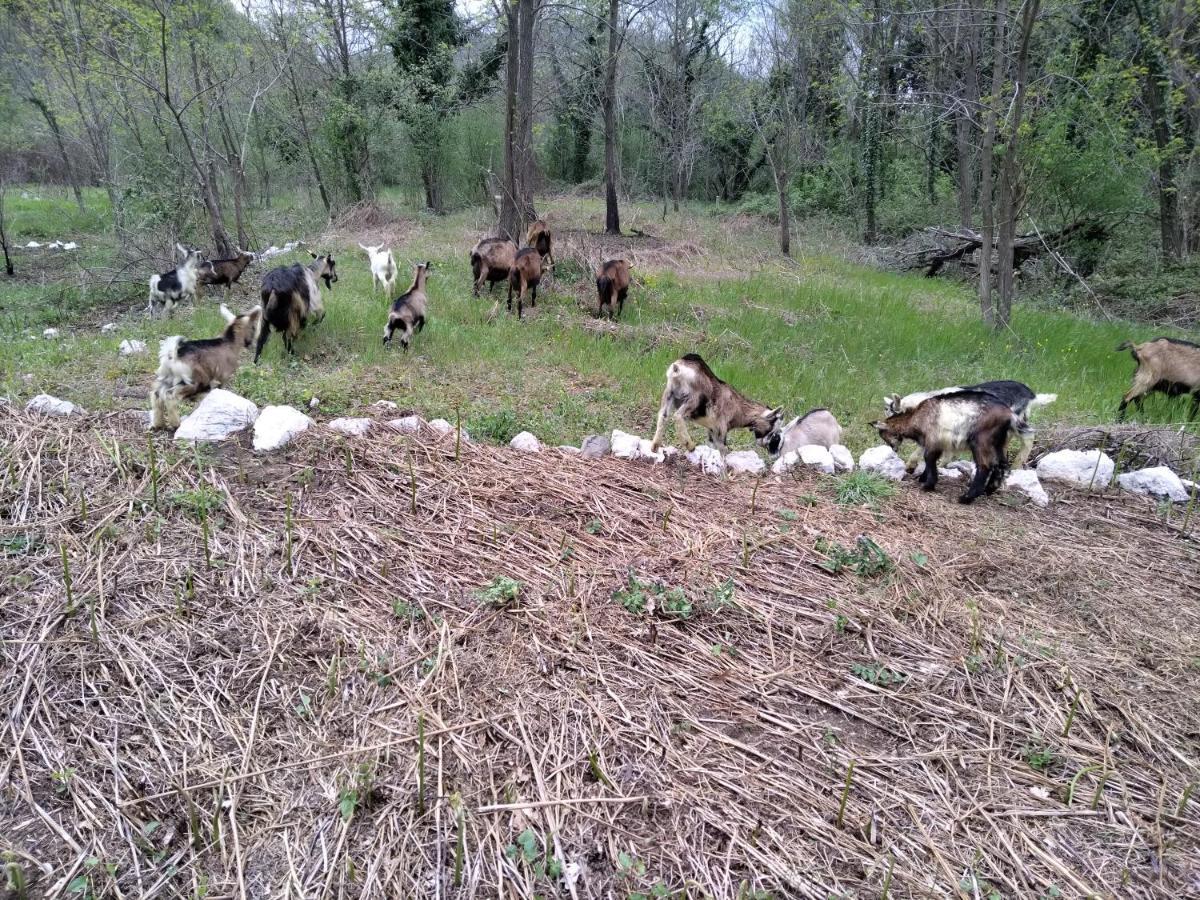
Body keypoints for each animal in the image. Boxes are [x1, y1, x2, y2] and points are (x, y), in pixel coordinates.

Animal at [652, 352, 782, 451]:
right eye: (771, 427)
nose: (766, 445)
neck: (738, 408)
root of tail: (678, 368)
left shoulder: (712, 431)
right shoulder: (721, 429)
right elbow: (723, 450)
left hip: (669, 393)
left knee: (663, 415)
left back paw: (655, 446)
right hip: (694, 398)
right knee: (678, 415)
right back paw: (690, 445)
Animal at [868, 393, 1017, 508]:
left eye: (883, 434)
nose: (893, 449)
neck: (916, 416)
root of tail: (1009, 415)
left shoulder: (933, 438)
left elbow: (928, 457)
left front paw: (928, 485)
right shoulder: (936, 442)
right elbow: (930, 459)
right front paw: (922, 478)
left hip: (981, 440)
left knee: (985, 465)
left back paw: (966, 498)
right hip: (999, 442)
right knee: (1001, 464)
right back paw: (989, 489)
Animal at [888, 381, 1056, 468]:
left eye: (893, 414)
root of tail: (1031, 395)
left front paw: (909, 466)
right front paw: (942, 465)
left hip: (1015, 419)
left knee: (1029, 434)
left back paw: (1016, 466)